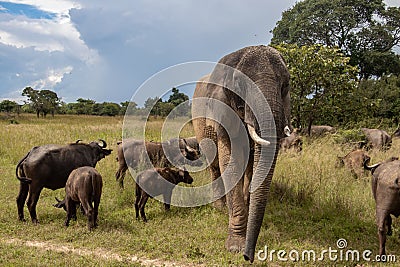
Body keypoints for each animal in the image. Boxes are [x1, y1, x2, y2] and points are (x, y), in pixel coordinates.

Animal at [191, 45, 290, 262]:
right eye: (240, 86)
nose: (248, 256)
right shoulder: (222, 110)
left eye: (285, 86)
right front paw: (235, 246)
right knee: (214, 164)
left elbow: (253, 166)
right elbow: (231, 162)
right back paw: (219, 207)